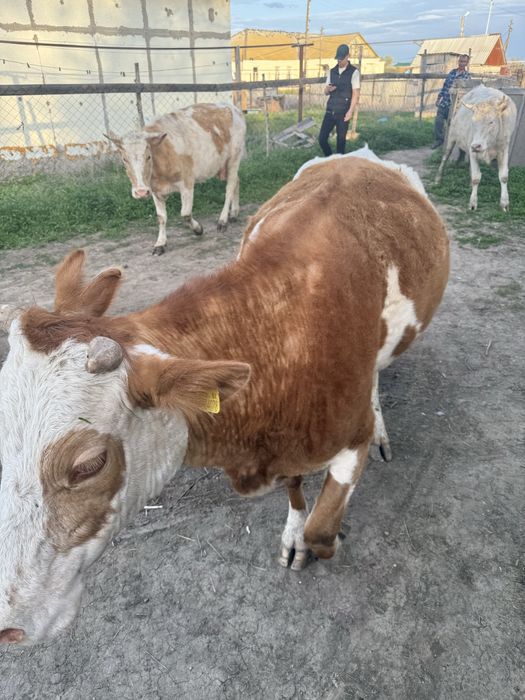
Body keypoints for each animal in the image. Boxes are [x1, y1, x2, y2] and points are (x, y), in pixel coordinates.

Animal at [0, 152, 449, 645]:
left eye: (89, 465)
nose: (9, 626)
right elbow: (297, 496)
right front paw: (294, 532)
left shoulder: (350, 439)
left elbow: (322, 528)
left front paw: (329, 536)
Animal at [106, 103, 246, 255]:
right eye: (124, 159)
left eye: (148, 156)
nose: (141, 192)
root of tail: (232, 107)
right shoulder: (154, 190)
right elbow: (161, 217)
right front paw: (160, 243)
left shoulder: (187, 183)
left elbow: (185, 213)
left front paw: (198, 229)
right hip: (223, 165)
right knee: (237, 181)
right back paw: (234, 213)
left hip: (234, 157)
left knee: (229, 188)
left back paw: (223, 220)